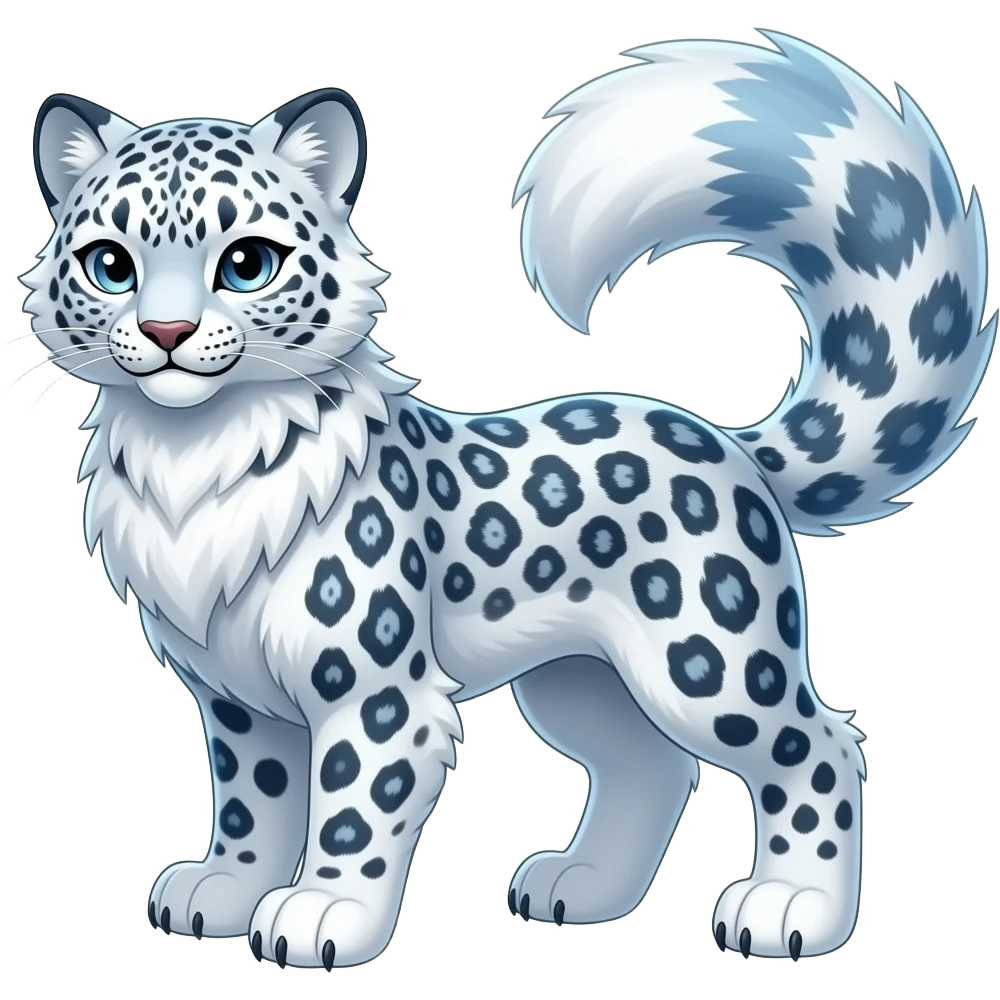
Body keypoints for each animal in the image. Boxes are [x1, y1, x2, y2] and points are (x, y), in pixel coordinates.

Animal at [17, 29, 994, 970]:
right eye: (110, 264)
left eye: (247, 262)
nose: (166, 330)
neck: (193, 470)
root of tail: (725, 440)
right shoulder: (235, 699)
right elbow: (254, 801)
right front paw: (223, 889)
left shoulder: (373, 694)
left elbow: (352, 811)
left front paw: (323, 915)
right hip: (581, 685)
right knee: (648, 766)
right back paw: (583, 887)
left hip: (705, 664)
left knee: (816, 745)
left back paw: (791, 910)